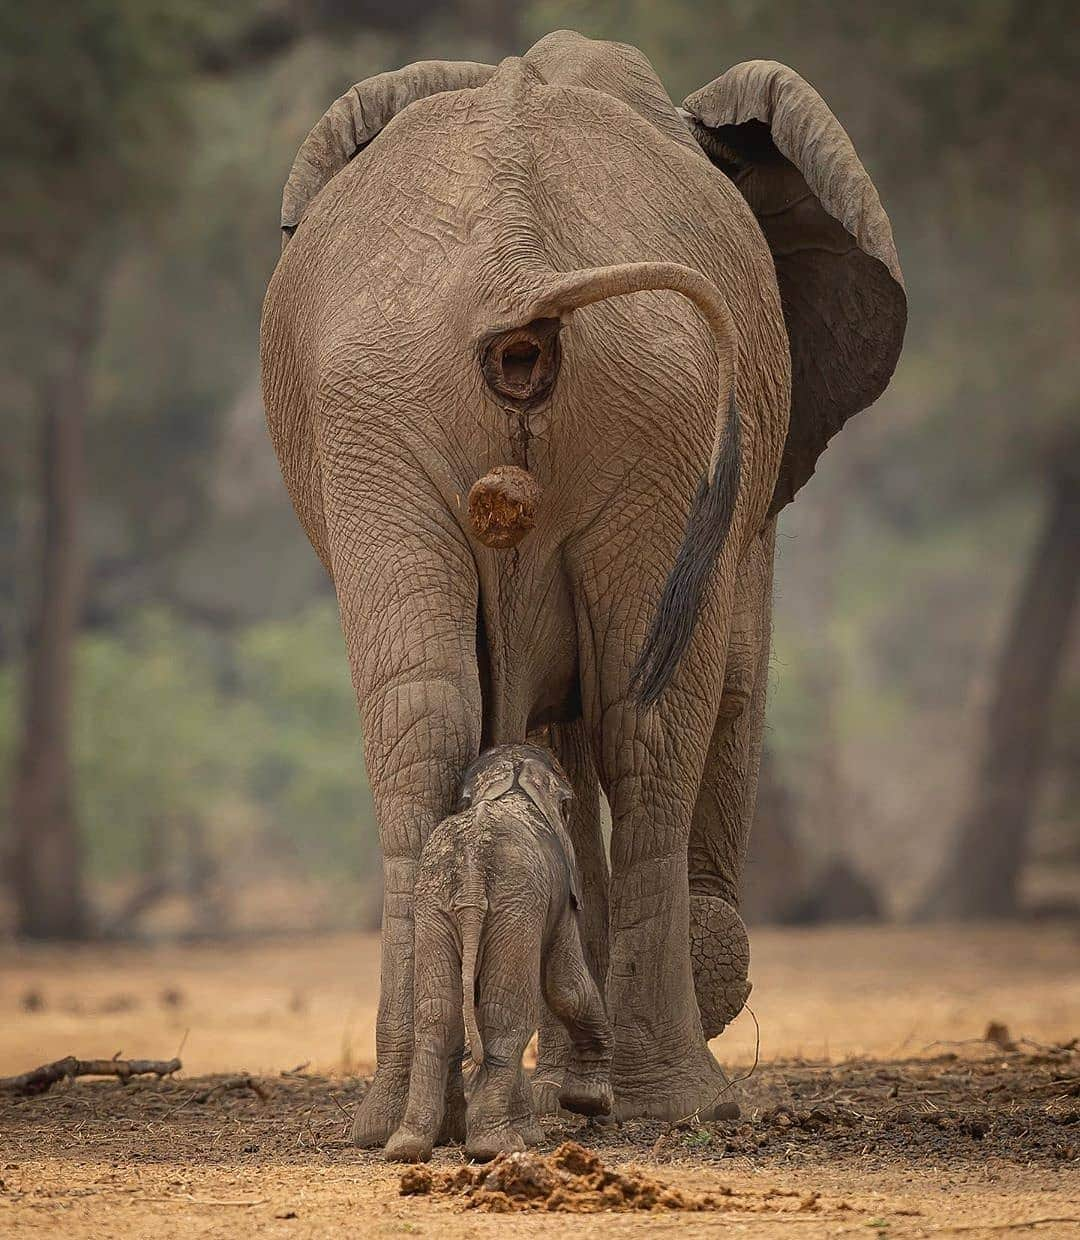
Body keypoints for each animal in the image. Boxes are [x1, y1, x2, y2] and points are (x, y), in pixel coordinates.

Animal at [384, 744, 612, 1160]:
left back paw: (406, 1149)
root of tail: (473, 869)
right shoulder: (557, 891)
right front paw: (589, 1103)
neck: (513, 777)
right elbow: (565, 987)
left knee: (436, 1013)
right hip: (514, 902)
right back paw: (495, 1148)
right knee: (506, 1015)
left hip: (435, 900)